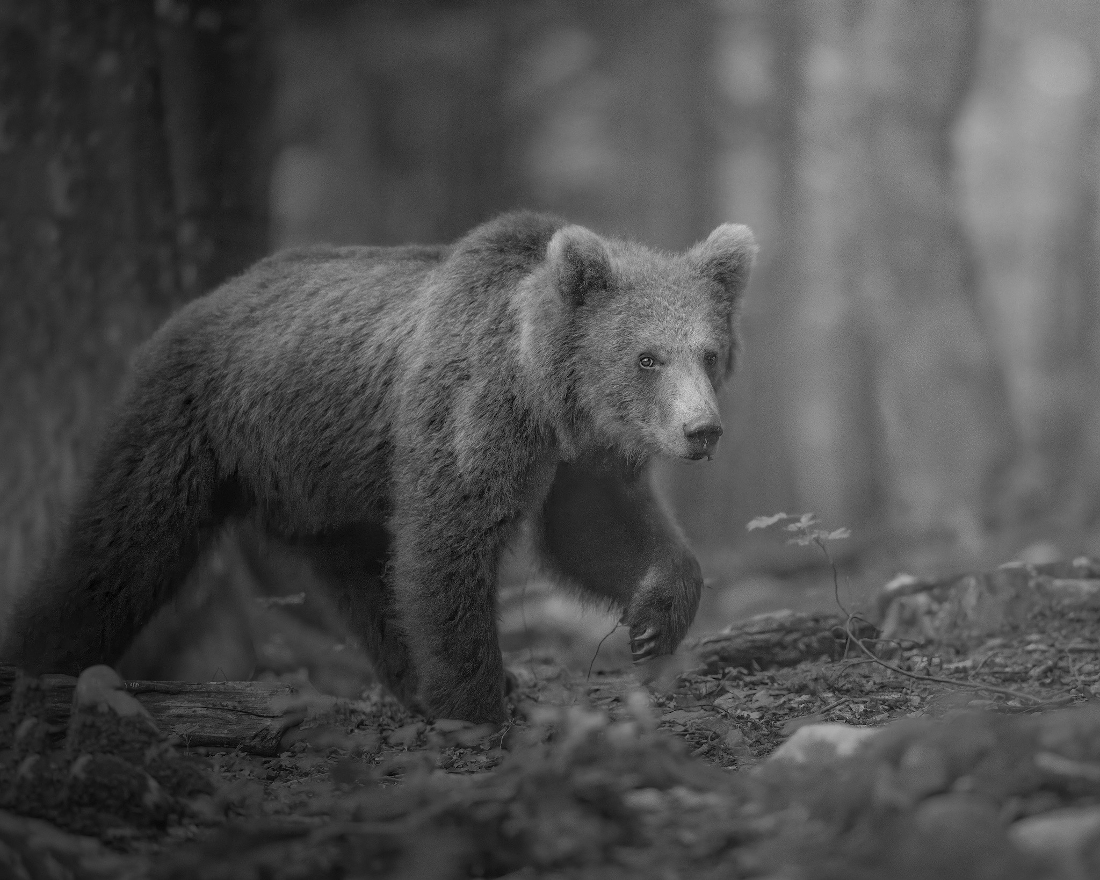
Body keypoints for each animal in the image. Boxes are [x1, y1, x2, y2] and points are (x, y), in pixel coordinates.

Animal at [3, 211, 757, 724]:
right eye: (647, 357)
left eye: (709, 351)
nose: (702, 429)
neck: (543, 391)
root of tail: (192, 306)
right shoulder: (470, 410)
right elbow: (449, 541)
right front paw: (482, 704)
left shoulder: (580, 454)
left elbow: (594, 528)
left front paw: (654, 619)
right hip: (192, 423)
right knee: (120, 550)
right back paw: (39, 660)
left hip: (322, 488)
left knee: (368, 578)